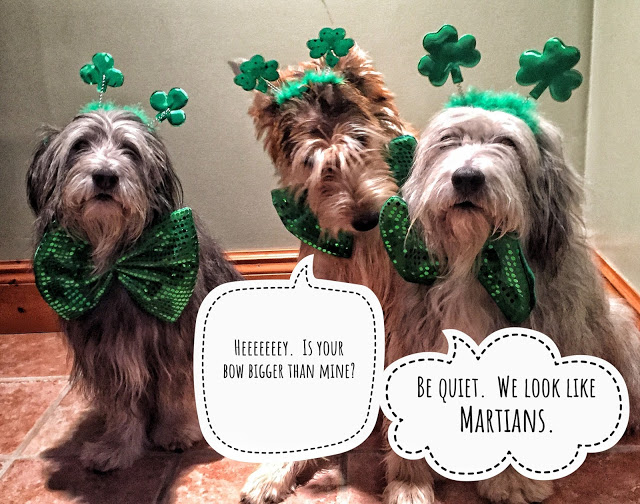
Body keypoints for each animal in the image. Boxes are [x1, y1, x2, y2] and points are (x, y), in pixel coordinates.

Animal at [27, 107, 242, 472]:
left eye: (130, 150)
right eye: (79, 145)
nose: (105, 176)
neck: (115, 263)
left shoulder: (174, 344)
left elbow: (173, 393)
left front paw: (174, 432)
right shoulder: (106, 354)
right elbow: (121, 406)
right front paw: (115, 447)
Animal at [383, 99, 640, 503]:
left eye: (507, 142)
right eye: (449, 140)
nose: (467, 177)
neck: (475, 261)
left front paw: (514, 480)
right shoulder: (414, 335)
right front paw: (409, 482)